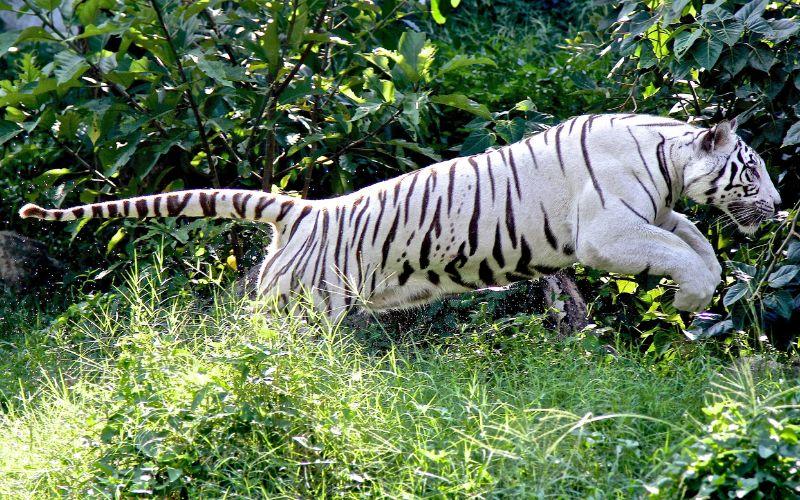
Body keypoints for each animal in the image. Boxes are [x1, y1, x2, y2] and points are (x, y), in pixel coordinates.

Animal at [20, 114, 781, 321]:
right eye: (754, 170)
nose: (777, 206)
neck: (667, 161)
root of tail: (303, 208)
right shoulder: (607, 233)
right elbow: (677, 252)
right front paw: (689, 298)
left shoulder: (654, 215)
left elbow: (695, 242)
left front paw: (706, 289)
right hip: (301, 307)